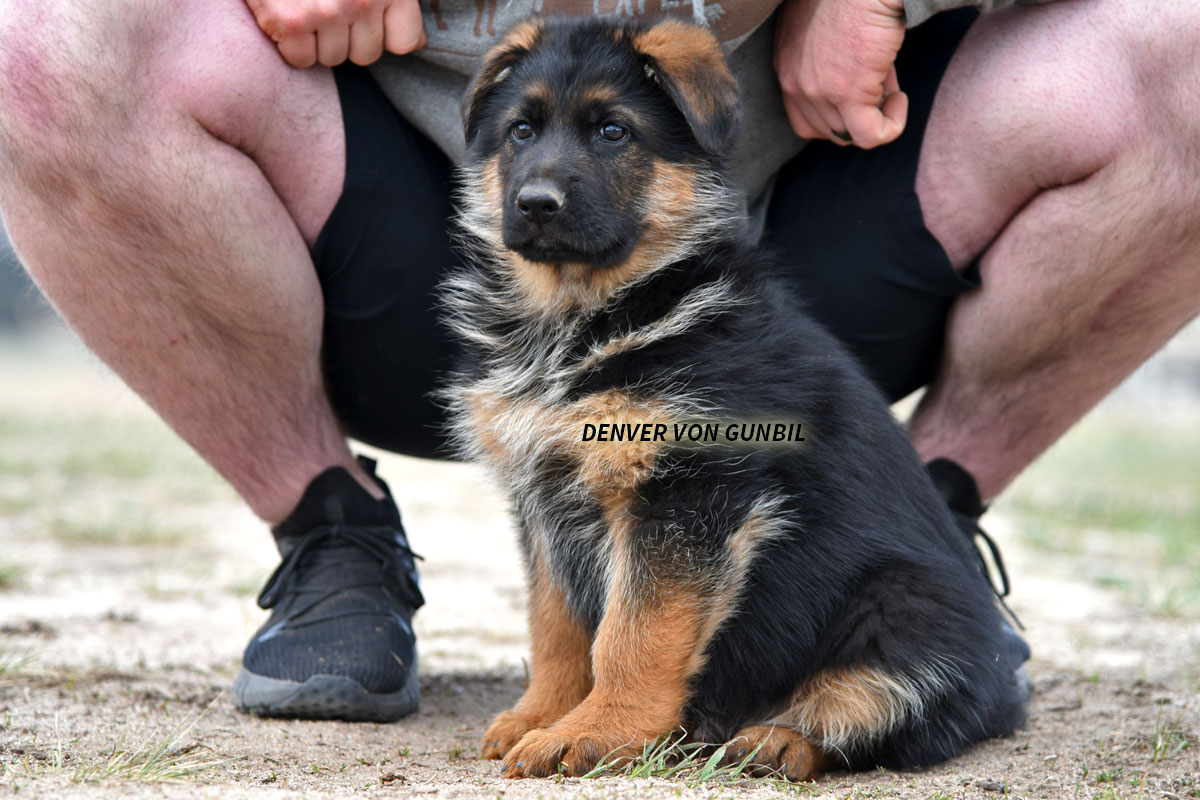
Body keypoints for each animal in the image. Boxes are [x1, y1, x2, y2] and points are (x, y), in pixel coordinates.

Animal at [441, 16, 1028, 780]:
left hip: (905, 603)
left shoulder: (687, 494)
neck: (589, 313)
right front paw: (543, 715)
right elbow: (557, 624)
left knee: (884, 709)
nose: (536, 204)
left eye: (613, 132)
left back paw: (778, 740)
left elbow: (630, 634)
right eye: (519, 131)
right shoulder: (542, 499)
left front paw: (596, 733)